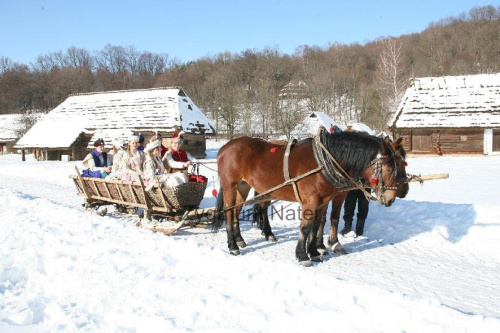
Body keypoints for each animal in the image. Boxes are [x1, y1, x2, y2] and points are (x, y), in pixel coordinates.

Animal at [212, 129, 398, 264]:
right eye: (389, 168)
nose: (391, 198)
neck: (323, 162)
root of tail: (226, 146)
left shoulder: (323, 201)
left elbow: (316, 226)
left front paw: (314, 252)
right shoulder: (311, 201)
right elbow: (305, 228)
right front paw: (302, 255)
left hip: (244, 186)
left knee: (236, 211)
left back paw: (240, 240)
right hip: (230, 186)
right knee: (229, 213)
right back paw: (233, 246)